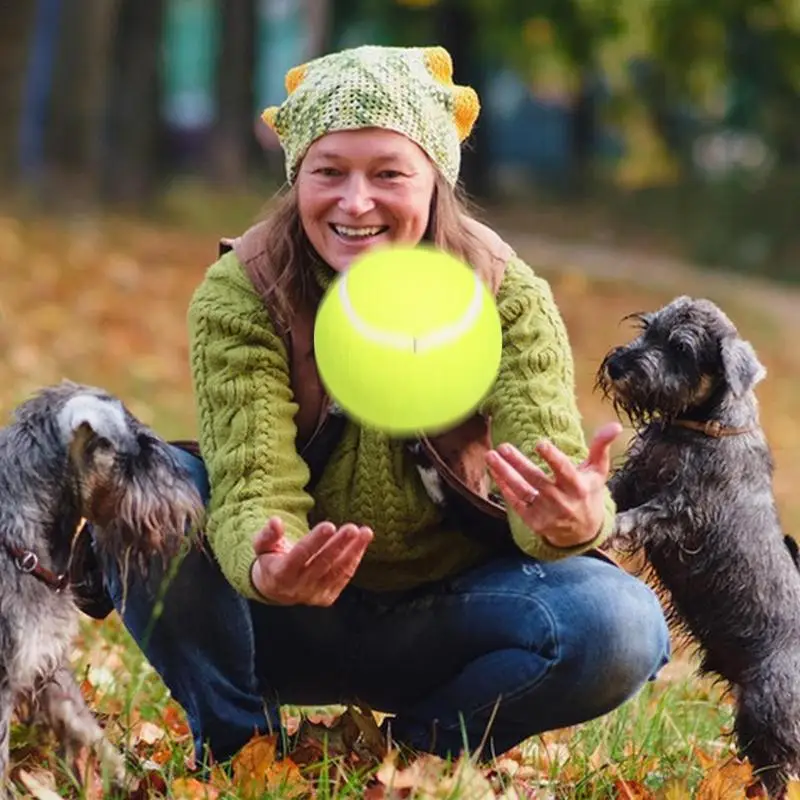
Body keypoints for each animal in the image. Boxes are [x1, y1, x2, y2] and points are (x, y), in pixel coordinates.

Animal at [596, 296, 800, 796]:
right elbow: (609, 493)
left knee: (779, 771)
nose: (617, 364)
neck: (697, 424)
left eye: (682, 349)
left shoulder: (679, 510)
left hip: (768, 714)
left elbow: (635, 519)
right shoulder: (634, 479)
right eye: (648, 330)